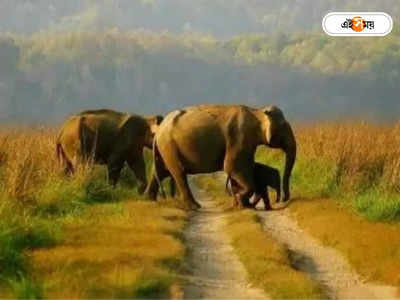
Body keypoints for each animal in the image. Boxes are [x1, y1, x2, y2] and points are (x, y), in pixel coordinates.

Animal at [145, 104, 296, 210]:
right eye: (284, 127)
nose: (283, 199)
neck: (257, 111)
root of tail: (158, 131)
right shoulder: (239, 138)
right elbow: (232, 167)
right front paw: (242, 201)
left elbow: (237, 170)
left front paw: (241, 204)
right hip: (169, 147)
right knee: (179, 173)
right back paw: (194, 206)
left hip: (165, 148)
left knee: (160, 171)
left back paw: (150, 200)